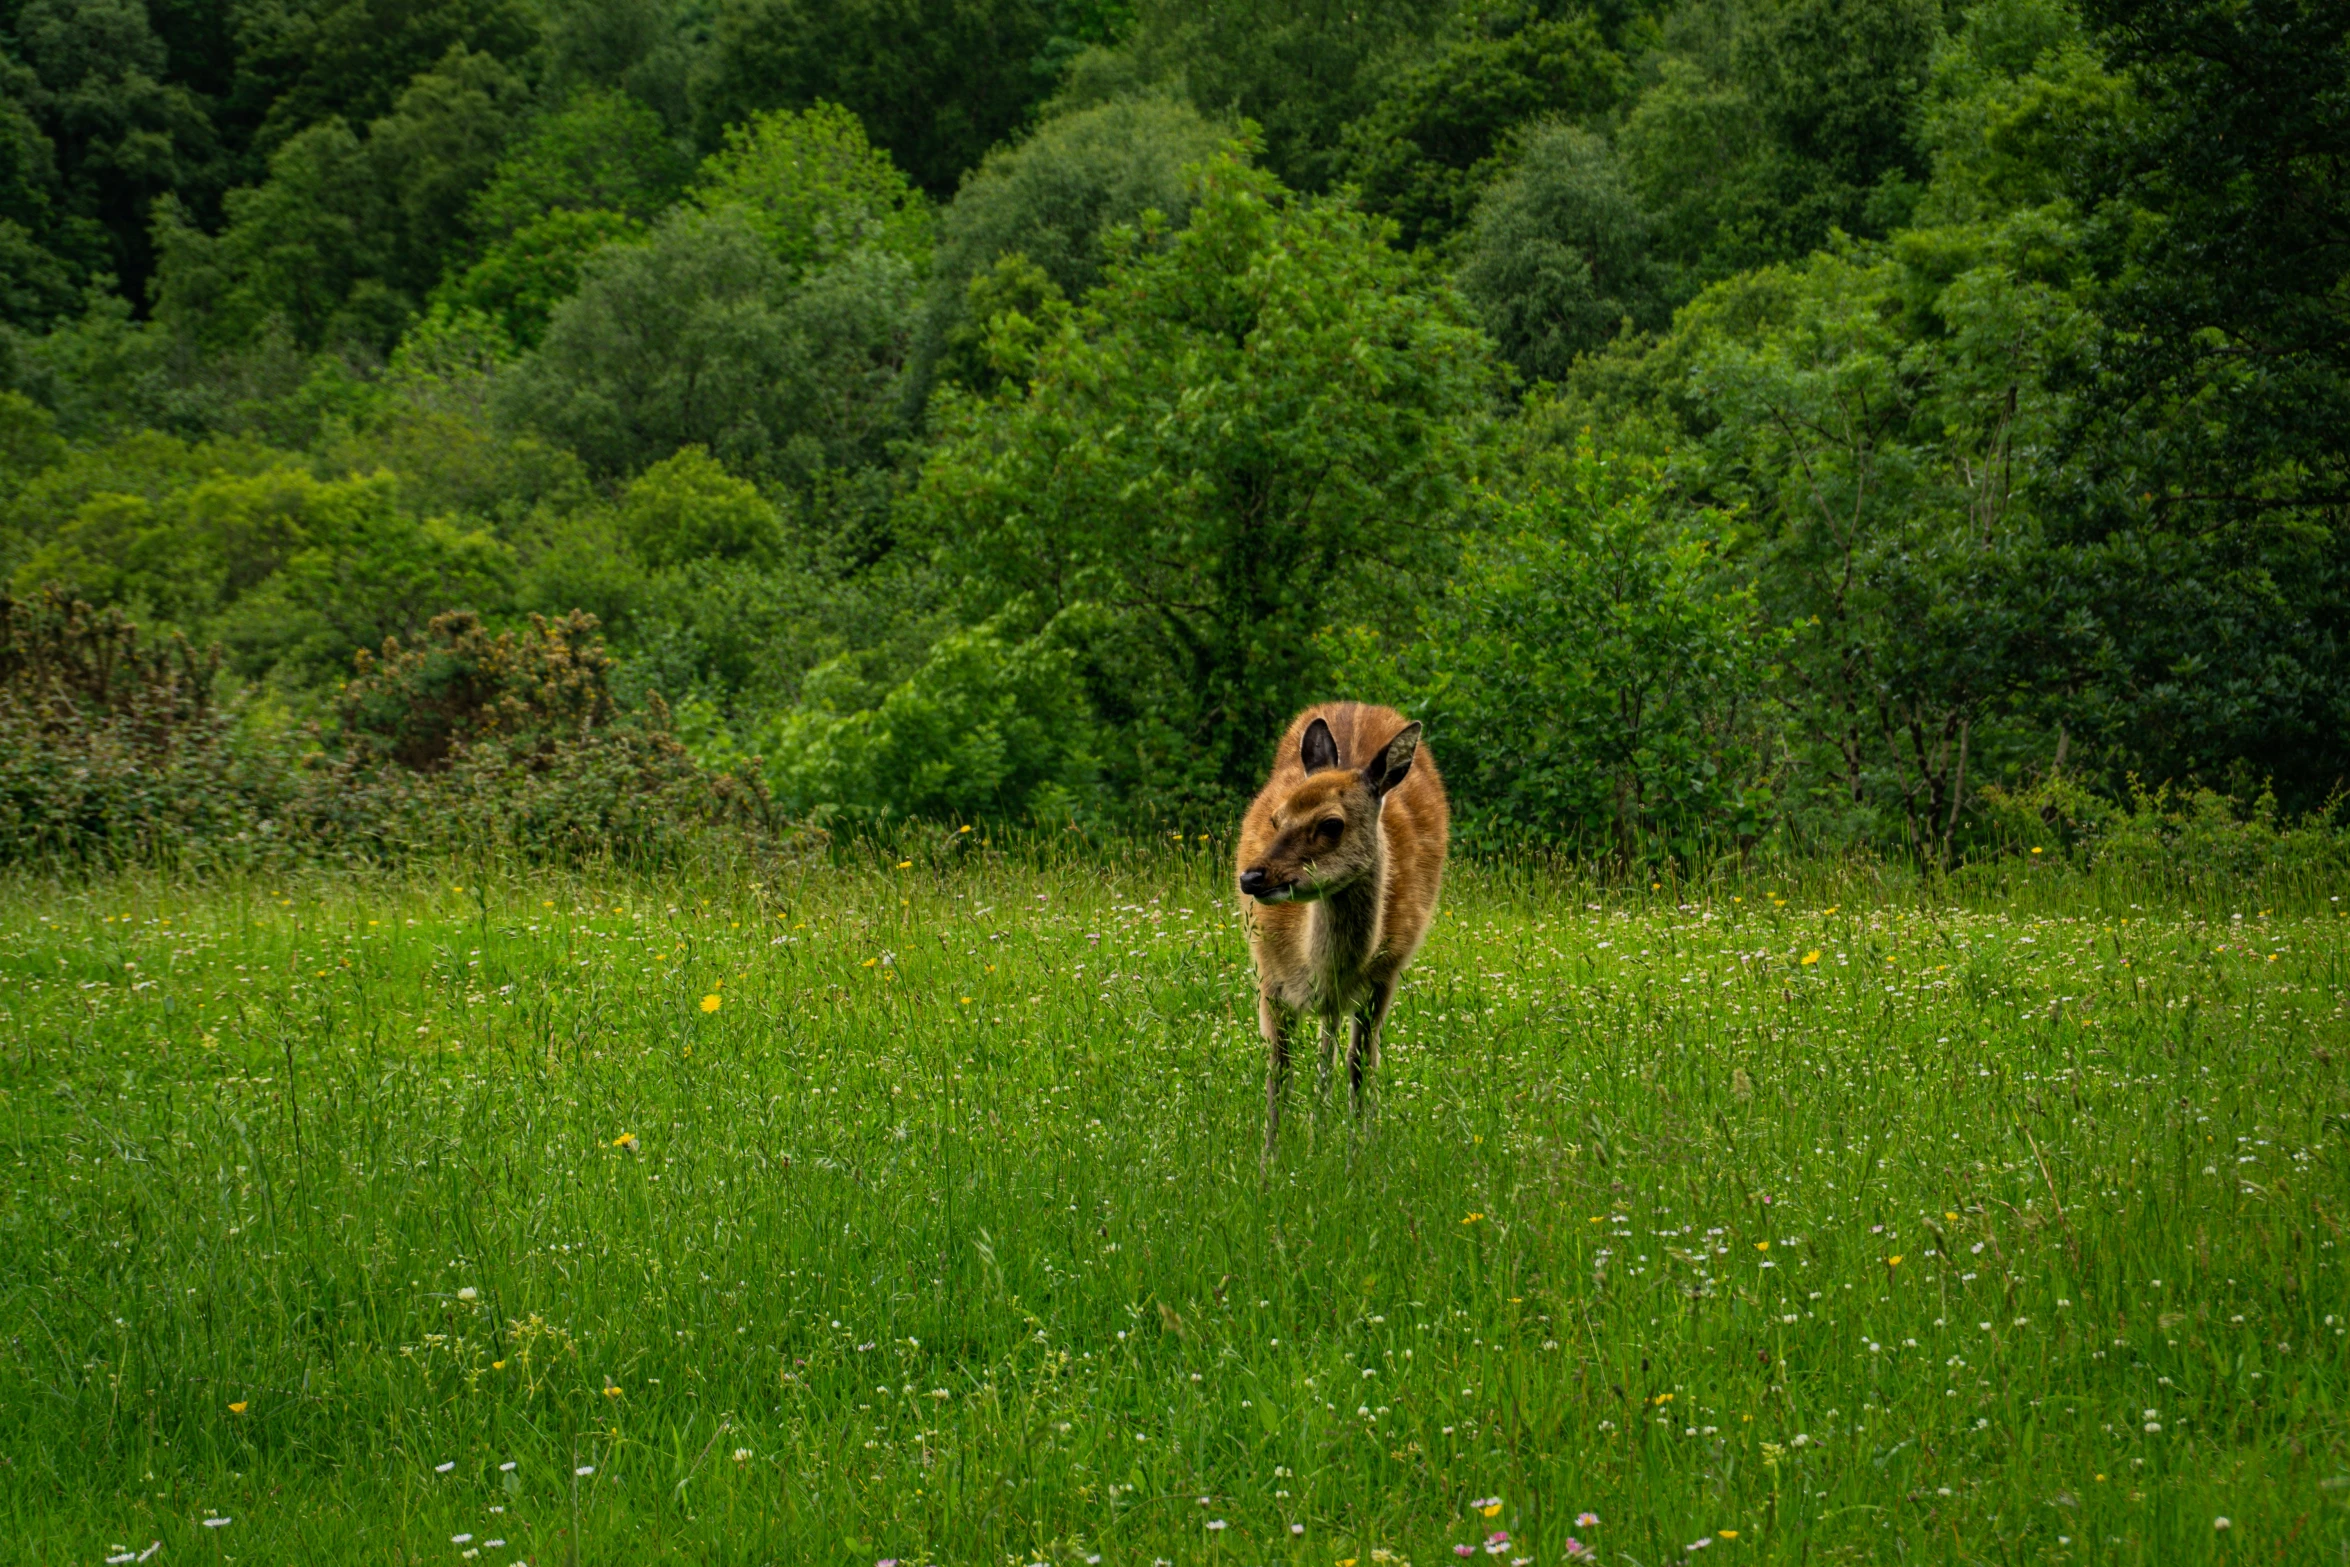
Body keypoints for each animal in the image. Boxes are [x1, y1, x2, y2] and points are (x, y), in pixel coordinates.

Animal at [1240, 704, 1438, 1160]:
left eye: (1332, 824)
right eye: (1276, 818)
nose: (1252, 877)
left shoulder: (1383, 978)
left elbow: (1360, 1064)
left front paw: (1356, 1156)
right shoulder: (1267, 976)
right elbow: (1279, 1067)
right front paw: (1269, 1161)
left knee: (1333, 1047)